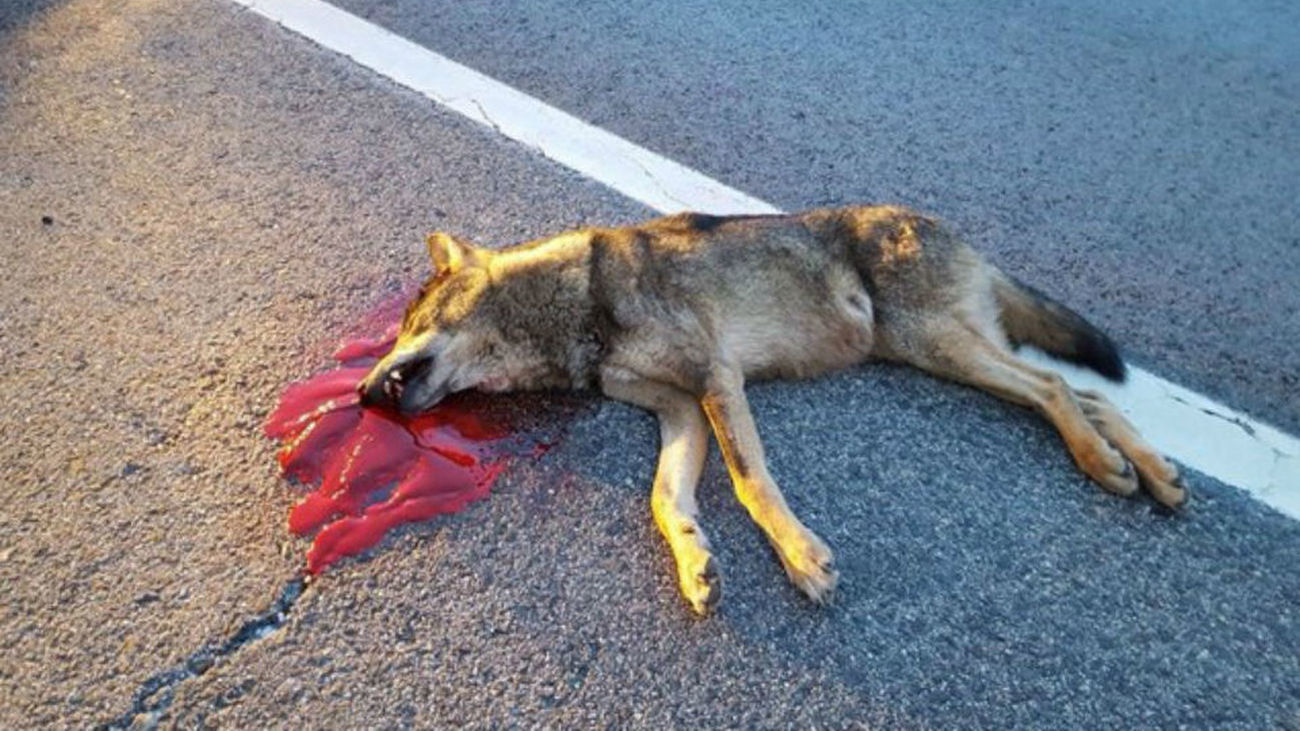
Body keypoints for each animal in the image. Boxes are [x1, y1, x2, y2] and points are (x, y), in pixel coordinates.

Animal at [356, 205, 1190, 613]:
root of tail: (964, 238)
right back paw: (1149, 472)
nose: (363, 394)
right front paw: (696, 562)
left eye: (408, 322)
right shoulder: (681, 411)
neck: (580, 303)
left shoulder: (716, 377)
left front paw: (801, 557)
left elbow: (750, 481)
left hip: (937, 344)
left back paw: (1105, 464)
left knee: (1056, 389)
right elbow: (665, 500)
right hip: (942, 351)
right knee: (1085, 392)